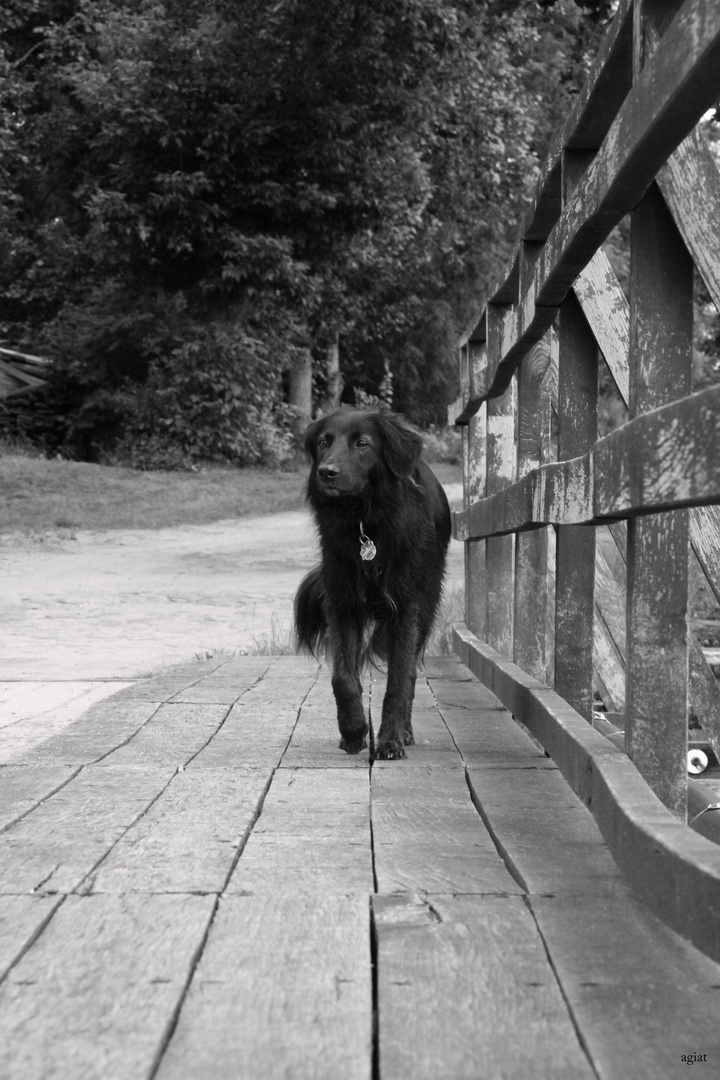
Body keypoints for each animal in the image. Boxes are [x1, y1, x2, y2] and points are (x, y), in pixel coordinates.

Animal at [293, 406, 451, 760]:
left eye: (362, 443)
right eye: (324, 442)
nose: (326, 472)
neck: (365, 520)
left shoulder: (408, 609)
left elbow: (399, 681)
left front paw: (390, 740)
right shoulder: (342, 603)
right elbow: (343, 677)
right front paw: (353, 730)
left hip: (427, 607)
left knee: (411, 674)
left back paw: (405, 732)